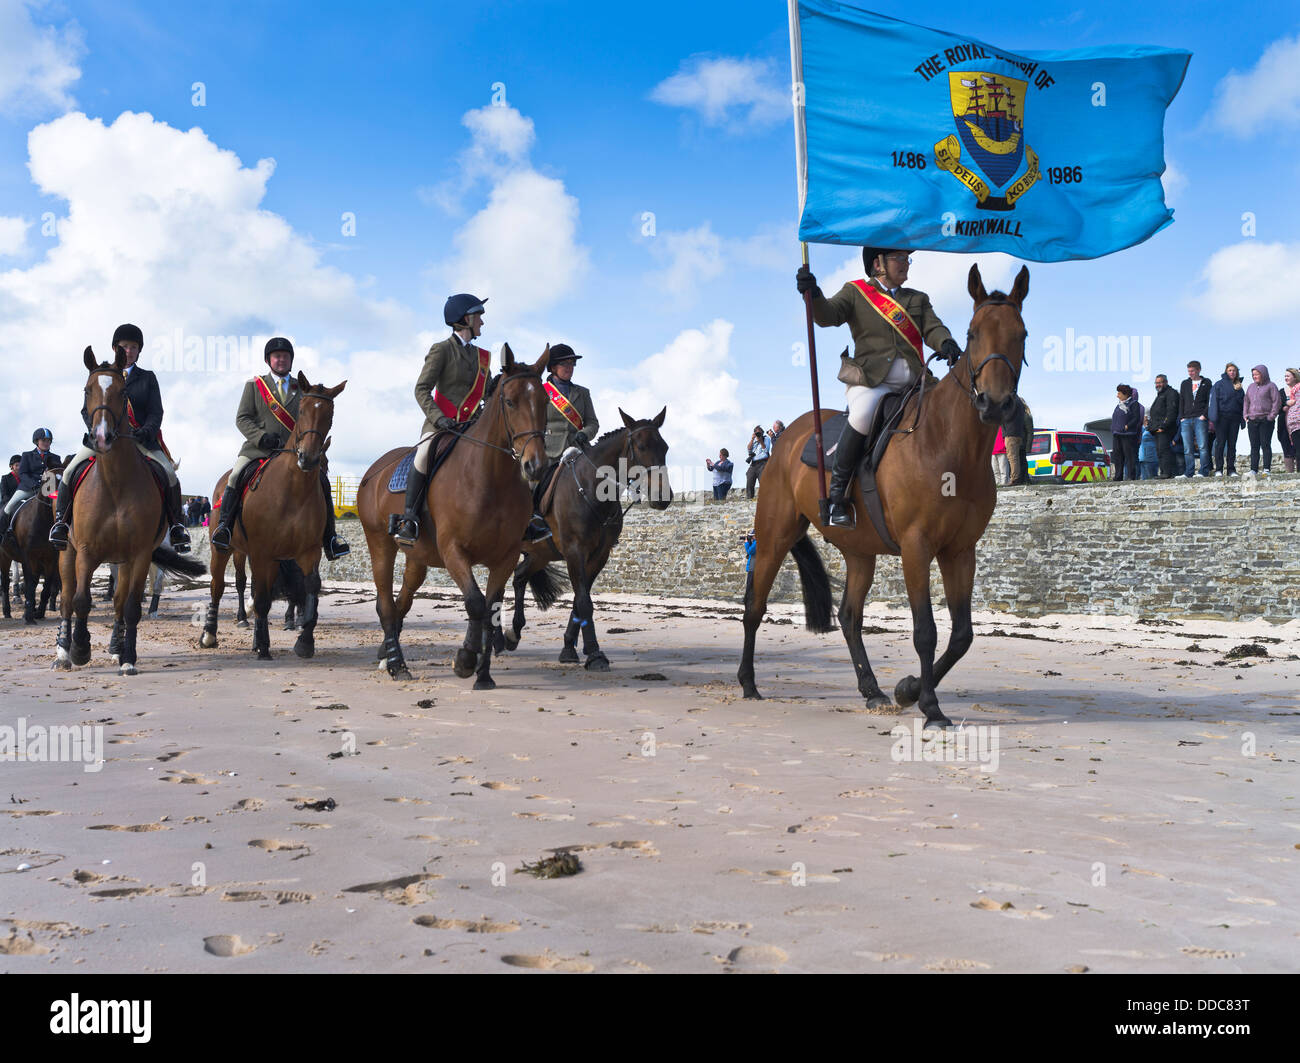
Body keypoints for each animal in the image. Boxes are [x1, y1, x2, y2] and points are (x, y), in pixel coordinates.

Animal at [56, 345, 206, 670]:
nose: (101, 438)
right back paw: (62, 653)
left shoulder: (139, 554)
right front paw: (80, 649)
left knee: (118, 603)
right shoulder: (85, 550)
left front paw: (127, 658)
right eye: (87, 390)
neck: (115, 482)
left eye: (123, 392)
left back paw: (115, 647)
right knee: (66, 598)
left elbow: (130, 607)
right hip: (67, 551)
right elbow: (80, 600)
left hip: (122, 559)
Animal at [197, 371, 345, 654]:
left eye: (330, 414)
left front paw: (305, 640)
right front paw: (263, 646)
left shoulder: (308, 551)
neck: (293, 490)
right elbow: (261, 597)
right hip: (223, 549)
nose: (308, 459)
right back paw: (210, 634)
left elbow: (310, 587)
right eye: (302, 409)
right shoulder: (261, 551)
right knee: (219, 586)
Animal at [358, 340, 551, 686]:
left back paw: (386, 654)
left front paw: (483, 675)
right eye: (510, 402)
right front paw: (465, 660)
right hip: (380, 544)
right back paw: (397, 664)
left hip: (417, 557)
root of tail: (374, 470)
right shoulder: (453, 551)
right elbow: (475, 603)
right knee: (386, 604)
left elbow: (491, 608)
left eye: (545, 401)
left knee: (402, 600)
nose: (536, 465)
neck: (491, 478)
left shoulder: (506, 557)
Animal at [501, 408, 676, 665]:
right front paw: (594, 653)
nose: (662, 496)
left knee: (520, 577)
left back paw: (512, 634)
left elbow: (579, 600)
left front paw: (569, 647)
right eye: (641, 446)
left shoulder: (599, 555)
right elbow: (584, 601)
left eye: (664, 447)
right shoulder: (575, 552)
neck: (592, 490)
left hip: (540, 554)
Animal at [743, 265, 1024, 727]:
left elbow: (961, 635)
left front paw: (908, 689)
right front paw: (930, 706)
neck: (949, 445)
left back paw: (872, 689)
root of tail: (789, 435)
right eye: (972, 332)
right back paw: (747, 683)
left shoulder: (960, 550)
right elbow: (926, 631)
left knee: (850, 617)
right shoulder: (916, 547)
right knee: (754, 605)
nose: (996, 404)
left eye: (1021, 334)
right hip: (772, 537)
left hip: (860, 553)